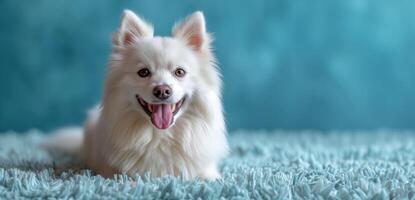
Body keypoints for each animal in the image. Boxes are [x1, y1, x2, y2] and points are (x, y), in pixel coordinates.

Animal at [45, 10, 231, 180]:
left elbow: (208, 176)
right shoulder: (112, 172)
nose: (162, 90)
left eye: (179, 72)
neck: (160, 135)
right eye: (143, 72)